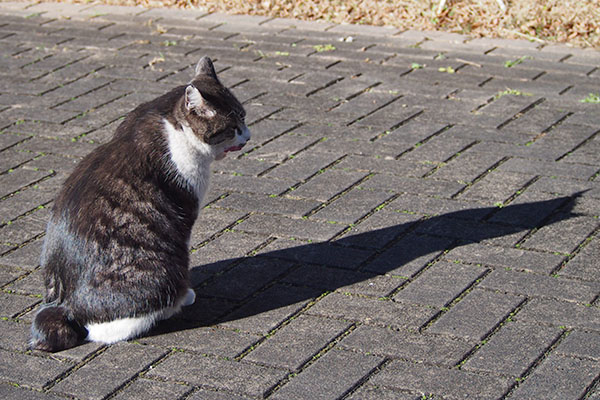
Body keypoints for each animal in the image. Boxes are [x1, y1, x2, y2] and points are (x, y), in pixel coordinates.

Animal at [29, 57, 251, 354]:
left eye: (244, 118)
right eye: (233, 127)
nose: (248, 136)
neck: (172, 122)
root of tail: (63, 305)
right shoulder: (184, 215)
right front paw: (188, 295)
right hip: (162, 270)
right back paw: (173, 305)